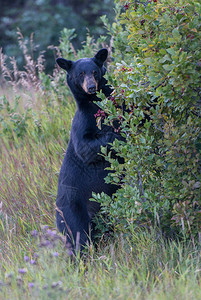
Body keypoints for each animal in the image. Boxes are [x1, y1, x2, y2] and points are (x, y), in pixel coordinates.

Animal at [55, 49, 121, 251]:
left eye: (94, 72)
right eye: (80, 74)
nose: (91, 87)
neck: (94, 103)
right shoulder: (81, 123)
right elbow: (85, 148)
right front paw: (115, 134)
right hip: (72, 211)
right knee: (77, 236)